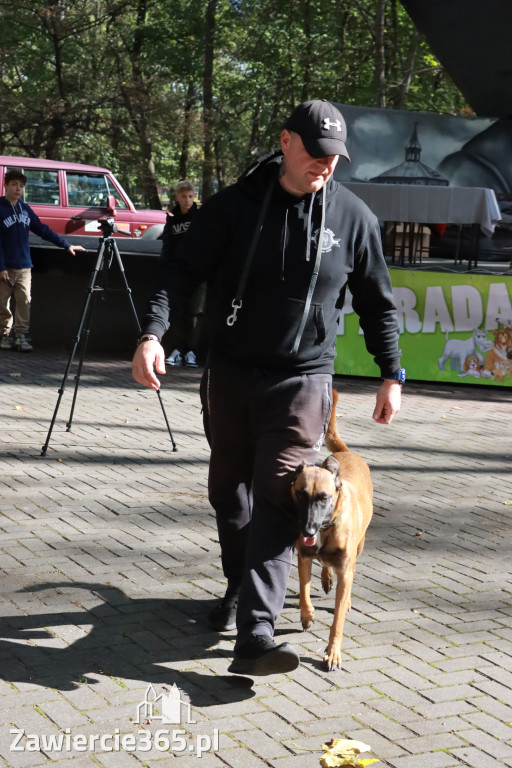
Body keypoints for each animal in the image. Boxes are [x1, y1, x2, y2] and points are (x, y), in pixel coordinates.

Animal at [292, 392, 372, 668]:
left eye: (323, 498)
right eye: (300, 494)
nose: (307, 530)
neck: (326, 529)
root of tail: (346, 453)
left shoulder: (345, 572)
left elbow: (337, 621)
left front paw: (333, 652)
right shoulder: (303, 557)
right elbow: (304, 591)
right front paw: (307, 615)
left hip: (359, 548)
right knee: (324, 565)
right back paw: (326, 577)